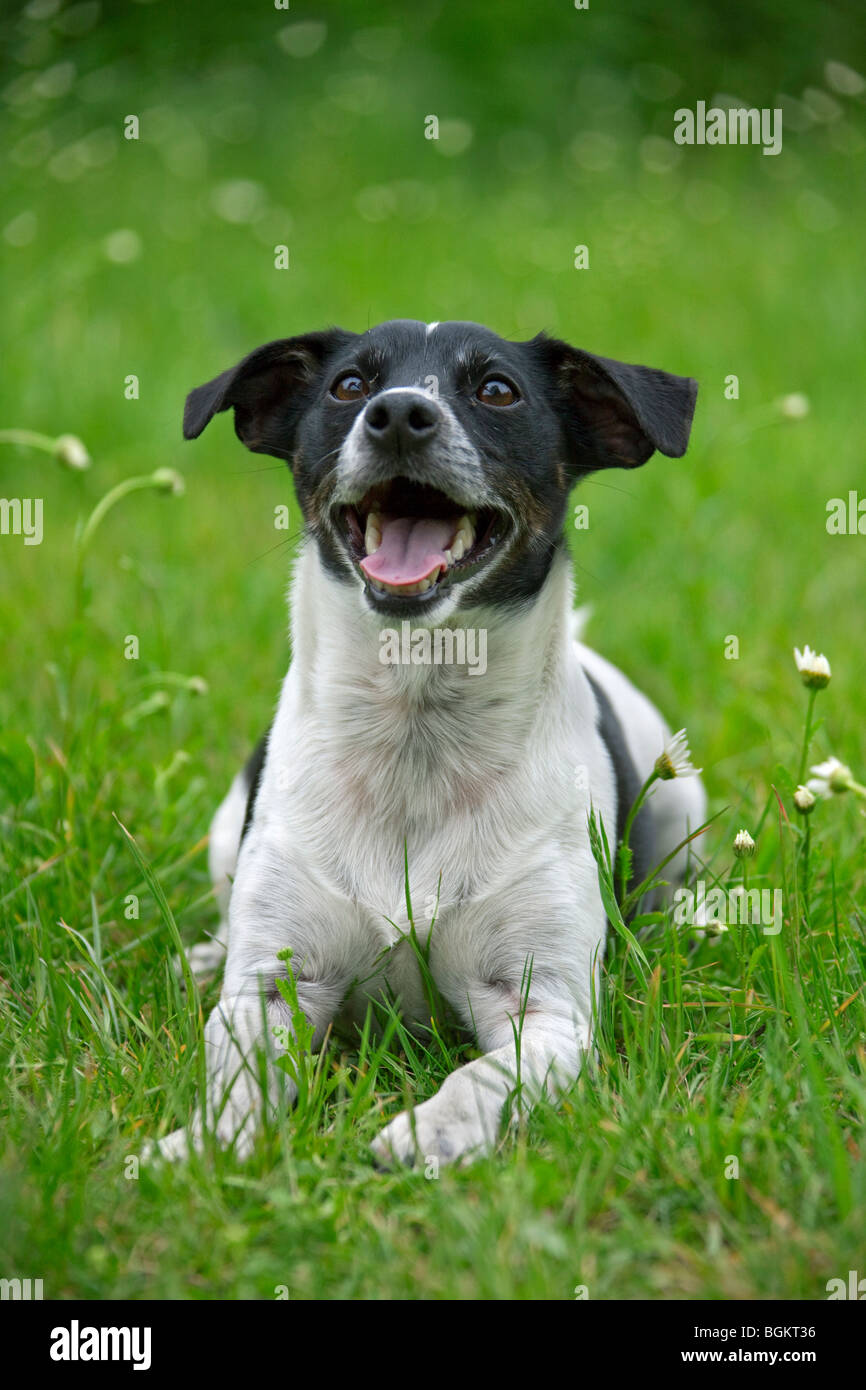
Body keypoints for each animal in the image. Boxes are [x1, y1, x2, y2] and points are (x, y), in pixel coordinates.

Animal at [155, 315, 708, 1162]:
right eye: (350, 384)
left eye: (498, 390)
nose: (398, 415)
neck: (416, 730)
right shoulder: (274, 986)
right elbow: (238, 1078)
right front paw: (204, 1149)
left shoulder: (547, 1010)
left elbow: (483, 1077)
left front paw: (427, 1132)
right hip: (227, 828)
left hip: (681, 801)